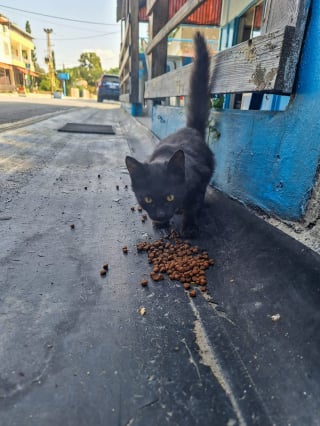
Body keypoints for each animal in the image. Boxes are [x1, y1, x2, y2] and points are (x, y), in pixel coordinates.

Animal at [126, 32, 214, 236]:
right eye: (148, 199)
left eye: (170, 197)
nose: (160, 214)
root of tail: (189, 129)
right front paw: (161, 223)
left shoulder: (199, 180)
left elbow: (193, 204)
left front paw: (189, 226)